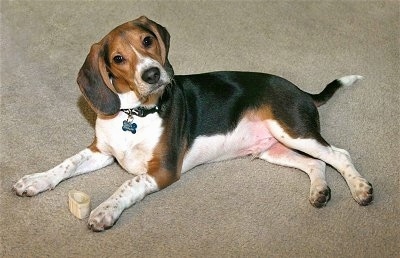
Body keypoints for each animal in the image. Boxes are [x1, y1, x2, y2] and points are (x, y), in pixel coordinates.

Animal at [13, 16, 376, 232]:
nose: (153, 74)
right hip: (273, 149)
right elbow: (65, 165)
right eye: (117, 58)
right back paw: (319, 192)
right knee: (316, 164)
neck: (133, 114)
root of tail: (301, 92)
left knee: (338, 155)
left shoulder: (163, 170)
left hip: (293, 131)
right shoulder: (101, 151)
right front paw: (35, 180)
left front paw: (105, 210)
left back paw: (360, 190)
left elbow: (127, 185)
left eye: (147, 41)